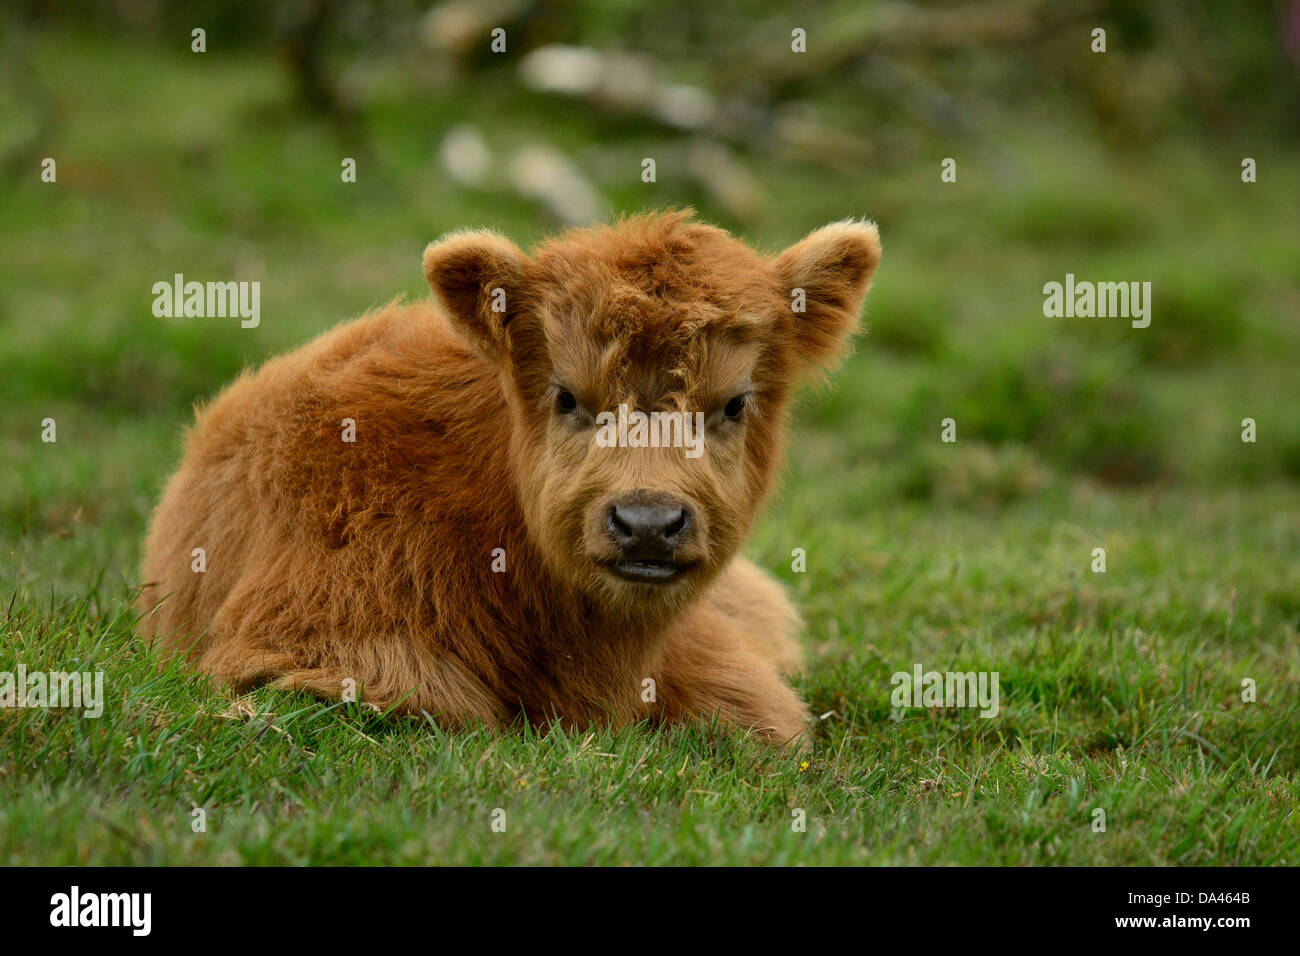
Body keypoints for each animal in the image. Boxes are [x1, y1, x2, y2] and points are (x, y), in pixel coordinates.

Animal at [137, 209, 878, 749]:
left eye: (733, 403)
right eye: (567, 396)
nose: (647, 524)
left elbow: (764, 717)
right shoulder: (306, 637)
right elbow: (438, 701)